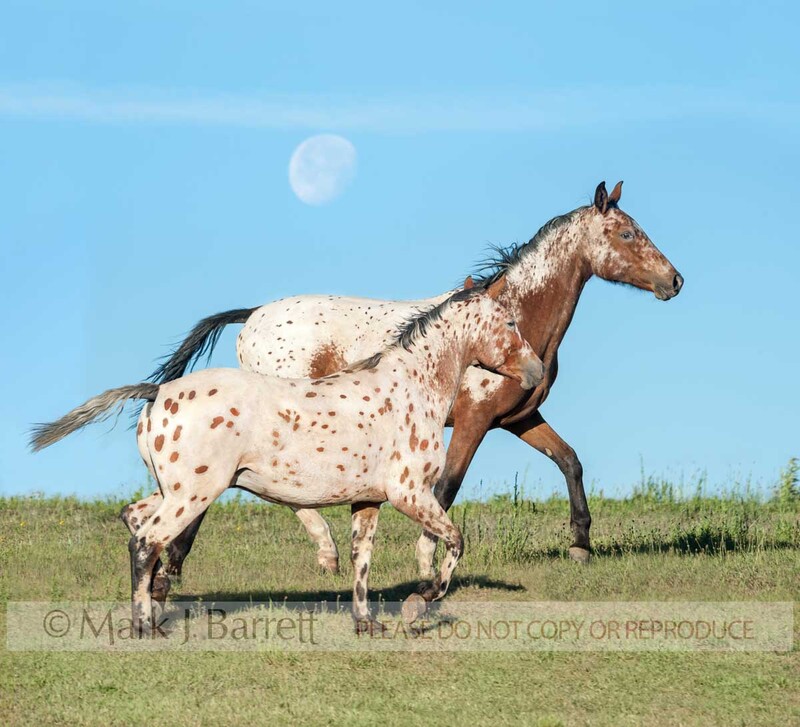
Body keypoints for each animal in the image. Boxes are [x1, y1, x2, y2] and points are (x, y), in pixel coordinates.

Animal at [30, 283, 544, 633]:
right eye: (510, 324)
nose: (536, 371)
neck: (409, 387)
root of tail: (158, 394)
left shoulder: (369, 501)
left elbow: (361, 560)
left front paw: (366, 623)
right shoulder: (410, 493)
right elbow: (454, 543)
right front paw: (420, 603)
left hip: (171, 491)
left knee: (134, 519)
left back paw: (155, 603)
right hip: (193, 495)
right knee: (145, 541)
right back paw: (144, 624)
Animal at [130, 180, 683, 580]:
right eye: (628, 234)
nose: (674, 280)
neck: (513, 319)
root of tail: (253, 316)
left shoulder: (518, 419)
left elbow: (570, 461)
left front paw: (580, 546)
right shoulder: (474, 422)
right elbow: (447, 487)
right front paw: (427, 560)